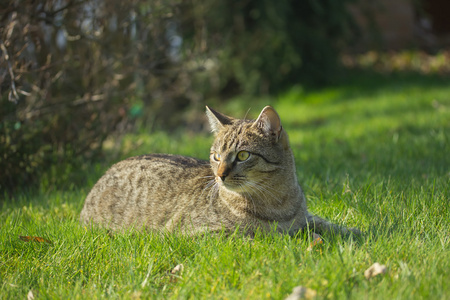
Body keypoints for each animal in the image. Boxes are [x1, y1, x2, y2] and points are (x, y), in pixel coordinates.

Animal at [80, 105, 358, 237]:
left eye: (243, 155)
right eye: (216, 156)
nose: (219, 175)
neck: (279, 202)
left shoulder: (306, 218)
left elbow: (329, 224)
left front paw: (359, 233)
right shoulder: (198, 233)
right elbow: (256, 237)